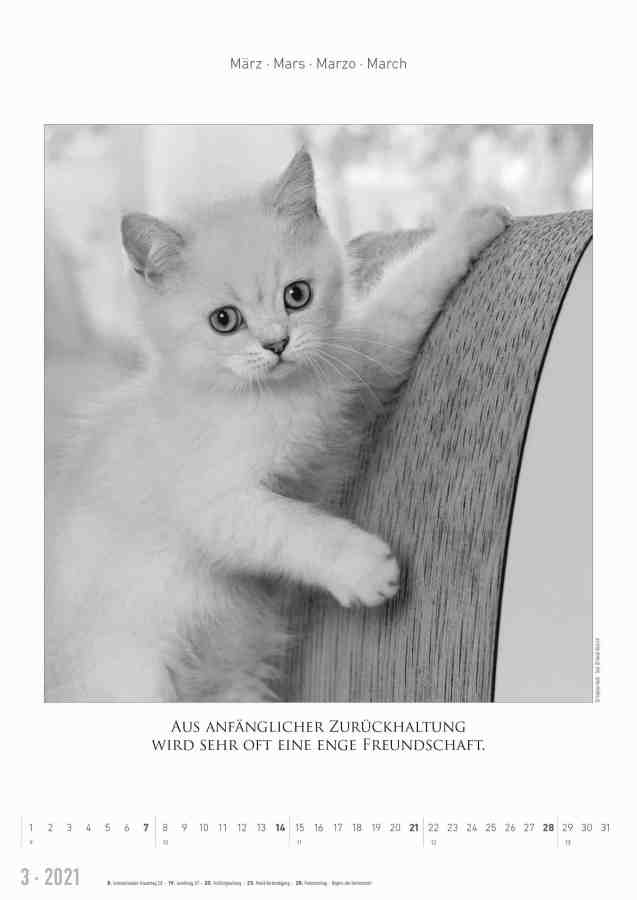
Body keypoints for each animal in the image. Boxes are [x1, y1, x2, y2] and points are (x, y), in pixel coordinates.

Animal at [44, 148, 510, 702]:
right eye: (224, 320)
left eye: (297, 295)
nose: (277, 344)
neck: (268, 397)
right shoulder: (214, 502)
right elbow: (288, 526)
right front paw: (363, 568)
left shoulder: (356, 367)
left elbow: (399, 305)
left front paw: (474, 223)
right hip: (132, 676)